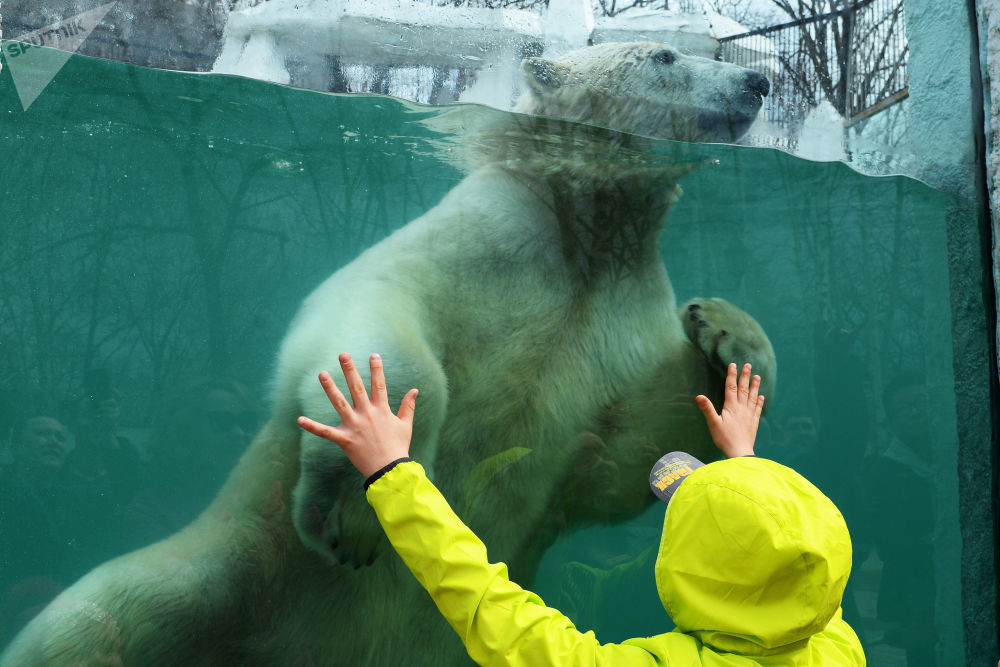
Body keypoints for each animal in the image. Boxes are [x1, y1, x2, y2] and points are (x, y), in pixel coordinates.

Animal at [1, 43, 772, 667]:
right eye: (665, 55)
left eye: (712, 47)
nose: (758, 79)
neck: (585, 224)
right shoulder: (493, 236)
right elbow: (379, 308)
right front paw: (355, 512)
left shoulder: (619, 315)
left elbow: (621, 455)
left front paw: (725, 330)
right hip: (229, 572)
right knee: (93, 622)